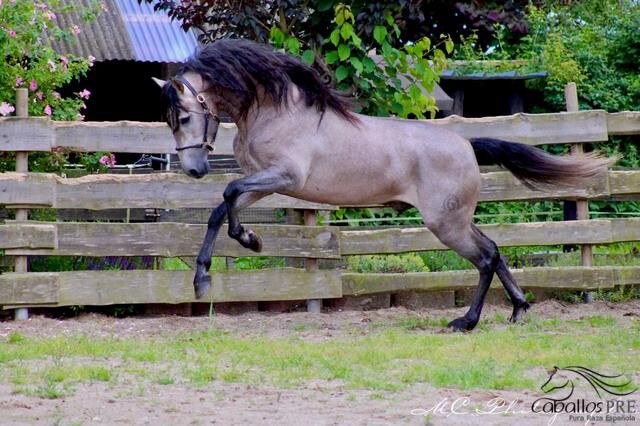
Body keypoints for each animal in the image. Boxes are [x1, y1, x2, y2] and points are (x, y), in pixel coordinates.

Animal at [152, 38, 612, 332]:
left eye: (186, 116)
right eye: (172, 120)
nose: (194, 170)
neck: (278, 111)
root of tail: (466, 143)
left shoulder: (285, 176)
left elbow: (228, 193)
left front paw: (250, 242)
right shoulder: (268, 184)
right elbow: (220, 209)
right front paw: (206, 276)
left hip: (445, 224)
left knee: (484, 259)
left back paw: (466, 322)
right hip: (456, 219)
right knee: (495, 250)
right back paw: (518, 310)